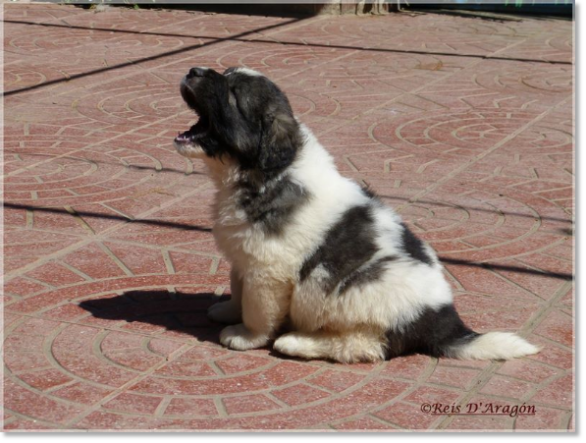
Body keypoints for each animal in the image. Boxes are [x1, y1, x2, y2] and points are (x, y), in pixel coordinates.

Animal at [173, 67, 540, 364]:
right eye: (225, 74)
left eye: (233, 93)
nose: (193, 70)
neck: (262, 175)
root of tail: (445, 320)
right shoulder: (244, 257)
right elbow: (238, 288)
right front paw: (225, 310)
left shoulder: (268, 271)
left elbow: (257, 310)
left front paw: (245, 335)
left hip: (359, 294)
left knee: (363, 346)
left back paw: (297, 342)